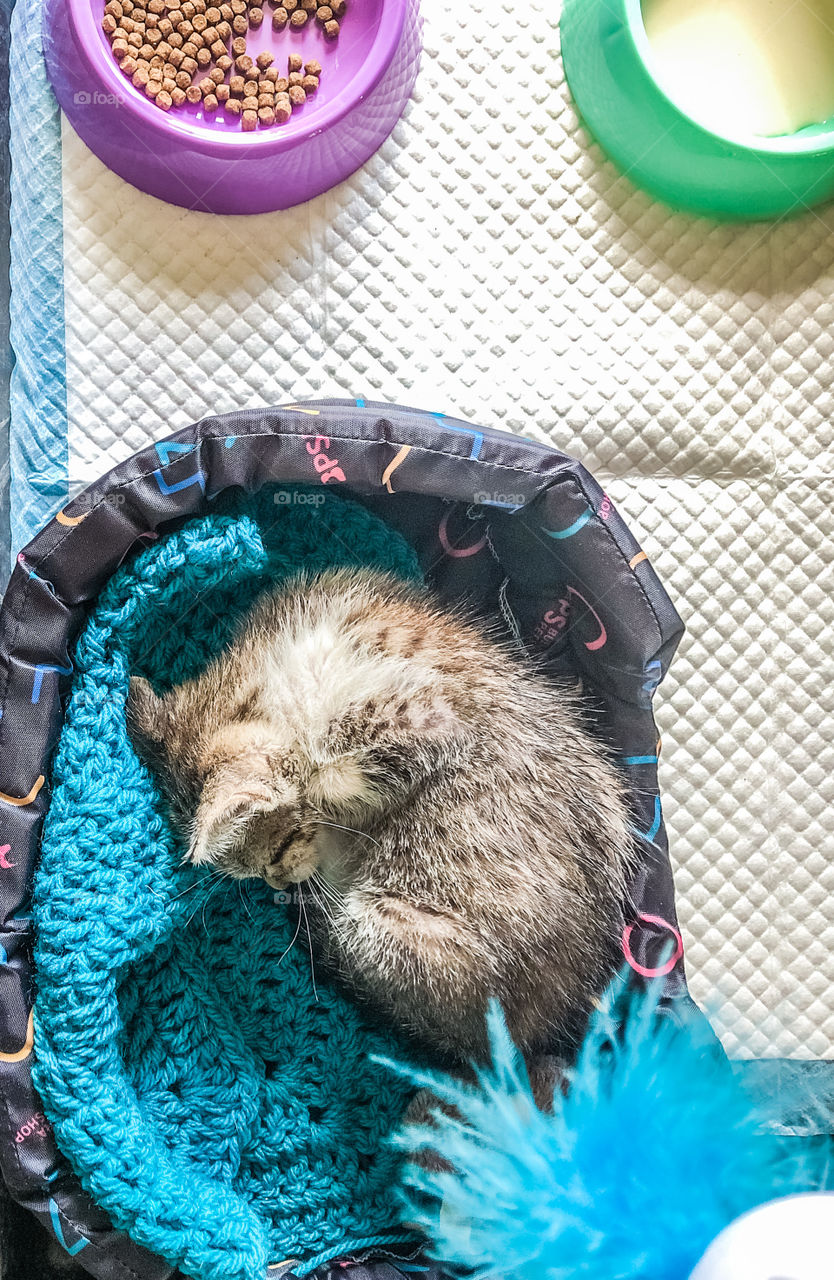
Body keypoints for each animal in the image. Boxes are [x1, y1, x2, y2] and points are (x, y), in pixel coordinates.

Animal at [128, 568, 631, 1059]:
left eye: (277, 851)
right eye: (254, 874)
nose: (277, 884)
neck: (273, 666)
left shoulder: (431, 716)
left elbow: (325, 777)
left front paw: (319, 797)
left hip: (387, 931)